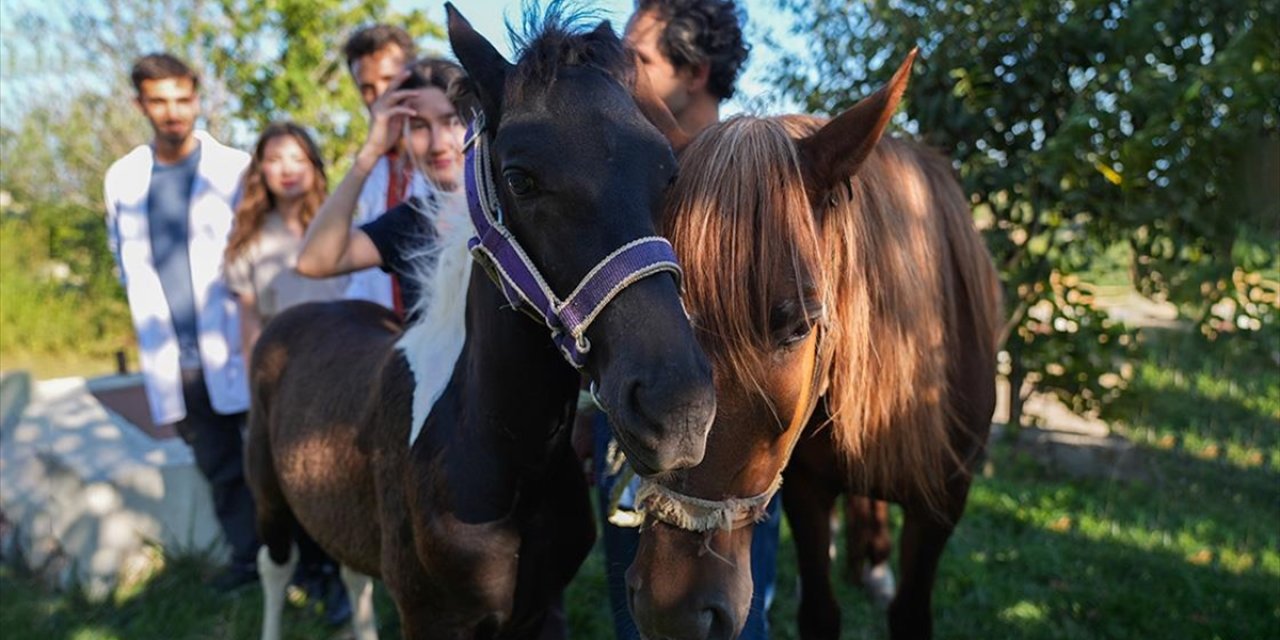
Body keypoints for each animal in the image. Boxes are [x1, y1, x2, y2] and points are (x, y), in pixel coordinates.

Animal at [244, 6, 716, 640]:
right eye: (519, 178)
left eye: (667, 173)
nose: (678, 410)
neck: (508, 459)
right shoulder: (431, 618)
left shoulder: (543, 608)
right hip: (267, 495)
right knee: (275, 569)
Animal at [624, 52, 1003, 637]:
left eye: (798, 327)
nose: (671, 611)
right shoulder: (806, 491)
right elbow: (820, 611)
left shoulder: (943, 503)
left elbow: (909, 612)